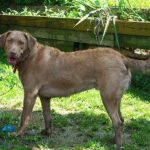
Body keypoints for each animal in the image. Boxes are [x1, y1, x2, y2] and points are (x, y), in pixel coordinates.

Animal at [0, 30, 149, 150]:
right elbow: (47, 117)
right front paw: (47, 133)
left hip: (107, 97)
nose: (12, 52)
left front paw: (18, 134)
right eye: (9, 40)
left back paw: (117, 145)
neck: (30, 56)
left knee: (117, 122)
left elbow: (24, 117)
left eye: (21, 43)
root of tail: (123, 57)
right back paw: (114, 140)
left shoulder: (30, 93)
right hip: (116, 97)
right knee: (121, 120)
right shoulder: (44, 97)